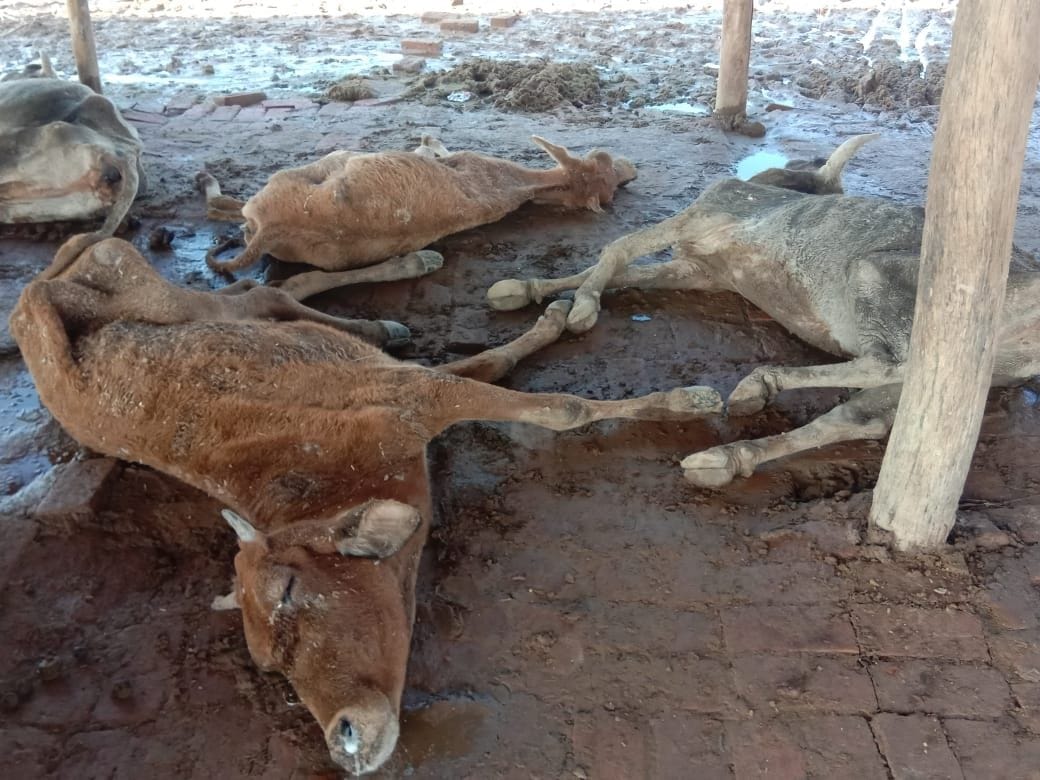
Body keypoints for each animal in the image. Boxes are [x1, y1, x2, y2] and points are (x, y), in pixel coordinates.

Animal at [10, 235, 722, 774]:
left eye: (289, 589)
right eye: (267, 664)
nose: (344, 741)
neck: (321, 478)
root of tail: (36, 287)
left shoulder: (414, 397)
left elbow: (557, 406)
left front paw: (682, 400)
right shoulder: (412, 394)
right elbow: (498, 369)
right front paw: (554, 326)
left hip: (157, 288)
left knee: (265, 294)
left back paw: (391, 299)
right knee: (270, 296)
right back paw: (387, 305)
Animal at [197, 135, 637, 300]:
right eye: (602, 160)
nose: (632, 170)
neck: (522, 185)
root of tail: (275, 227)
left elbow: (432, 151)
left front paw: (428, 139)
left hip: (293, 178)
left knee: (228, 207)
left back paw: (210, 186)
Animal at [485, 134, 1040, 488]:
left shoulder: (700, 217)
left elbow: (618, 248)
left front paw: (581, 310)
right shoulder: (703, 269)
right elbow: (624, 271)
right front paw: (528, 290)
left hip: (882, 286)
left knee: (885, 362)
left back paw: (758, 386)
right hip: (973, 372)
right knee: (860, 416)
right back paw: (724, 457)